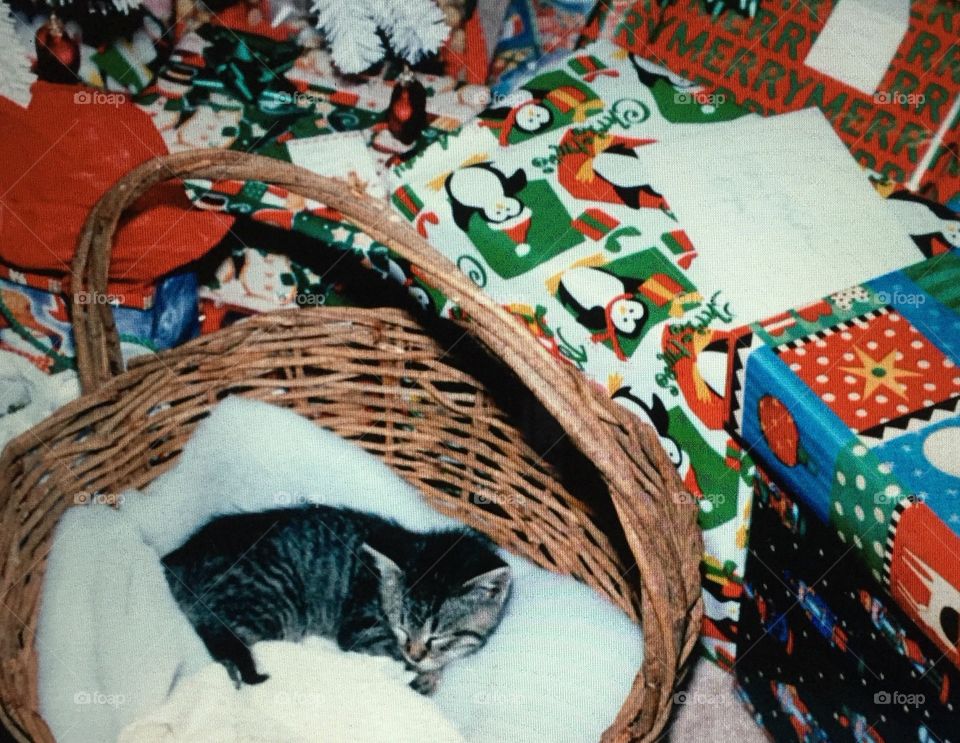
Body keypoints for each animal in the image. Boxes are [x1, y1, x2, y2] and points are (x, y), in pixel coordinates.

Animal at [161, 502, 512, 696]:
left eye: (437, 635)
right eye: (401, 627)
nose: (414, 654)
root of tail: (179, 559)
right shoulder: (362, 630)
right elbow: (399, 661)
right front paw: (423, 675)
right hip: (273, 605)